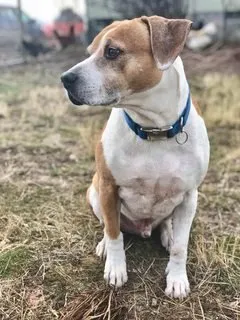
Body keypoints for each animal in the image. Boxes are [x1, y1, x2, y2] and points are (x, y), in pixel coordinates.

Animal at [60, 16, 210, 298]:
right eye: (89, 52)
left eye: (112, 51)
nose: (65, 79)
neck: (154, 129)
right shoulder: (108, 187)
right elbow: (113, 232)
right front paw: (115, 268)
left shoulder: (189, 196)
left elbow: (181, 246)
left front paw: (177, 279)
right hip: (94, 192)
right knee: (110, 225)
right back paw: (105, 245)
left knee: (166, 224)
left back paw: (167, 233)